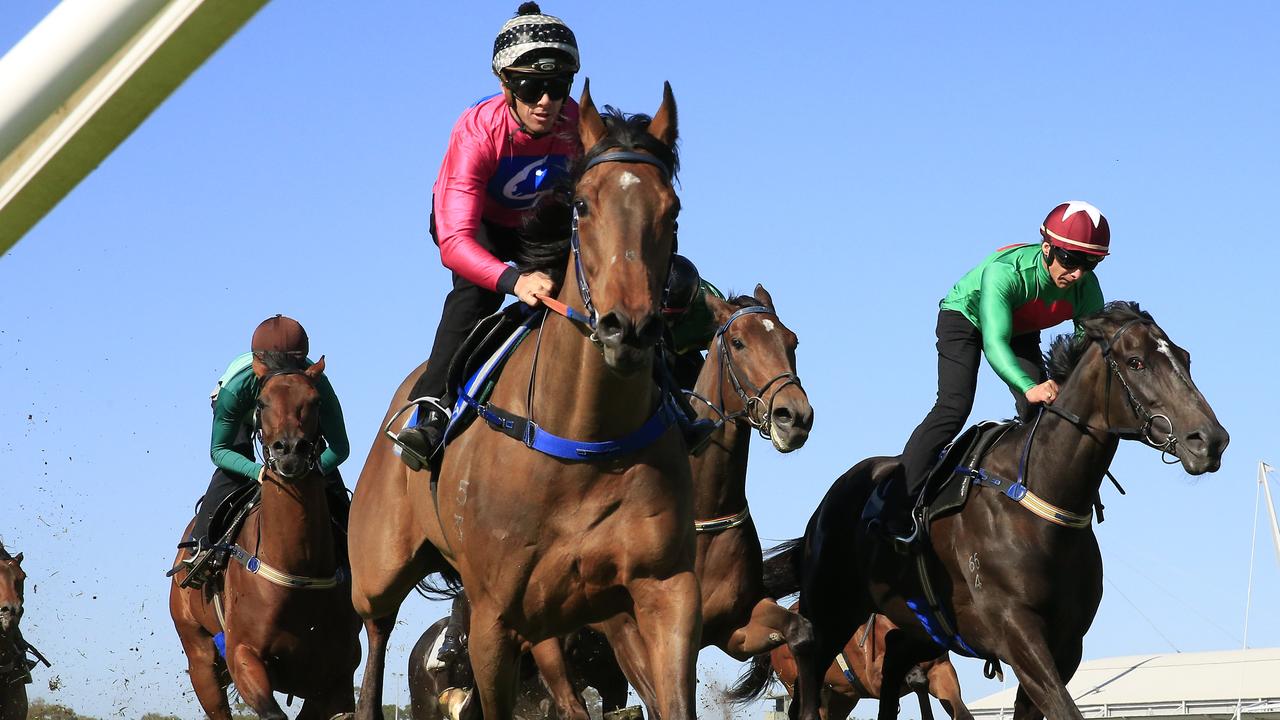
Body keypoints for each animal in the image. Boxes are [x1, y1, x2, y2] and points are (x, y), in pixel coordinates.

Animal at [167, 356, 360, 717]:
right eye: (262, 402)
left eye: (315, 401)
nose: (290, 450)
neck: (298, 566)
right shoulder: (243, 654)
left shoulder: (338, 678)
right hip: (199, 654)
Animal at [350, 79, 701, 717]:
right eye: (582, 205)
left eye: (673, 209)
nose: (628, 329)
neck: (587, 440)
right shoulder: (493, 620)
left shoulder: (663, 590)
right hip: (378, 569)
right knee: (375, 634)